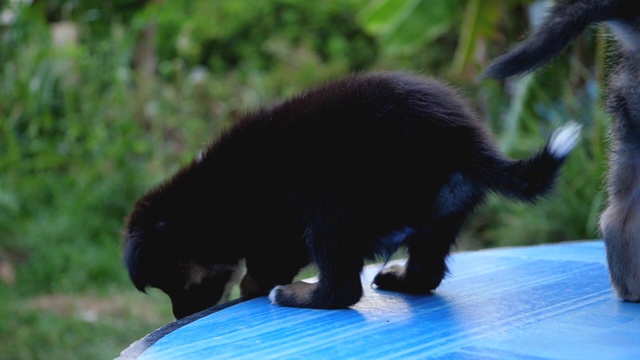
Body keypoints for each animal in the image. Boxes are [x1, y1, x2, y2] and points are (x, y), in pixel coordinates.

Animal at [121, 70, 580, 318]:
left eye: (171, 280)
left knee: (342, 287)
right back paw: (401, 280)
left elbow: (265, 264)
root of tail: (461, 138)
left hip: (332, 206)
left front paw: (254, 287)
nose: (182, 316)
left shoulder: (277, 230)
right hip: (442, 215)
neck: (204, 202)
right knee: (427, 271)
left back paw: (296, 296)